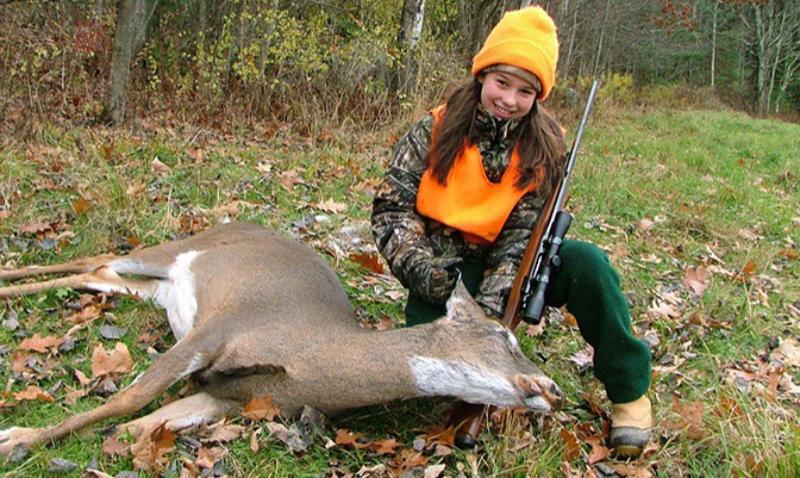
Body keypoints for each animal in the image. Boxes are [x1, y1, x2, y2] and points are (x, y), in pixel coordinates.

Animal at [0, 222, 563, 457]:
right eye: (503, 335)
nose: (553, 388)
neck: (311, 353)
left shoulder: (229, 398)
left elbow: (147, 421)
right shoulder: (219, 328)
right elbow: (130, 398)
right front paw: (18, 438)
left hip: (154, 289)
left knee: (93, 274)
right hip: (171, 252)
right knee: (95, 258)